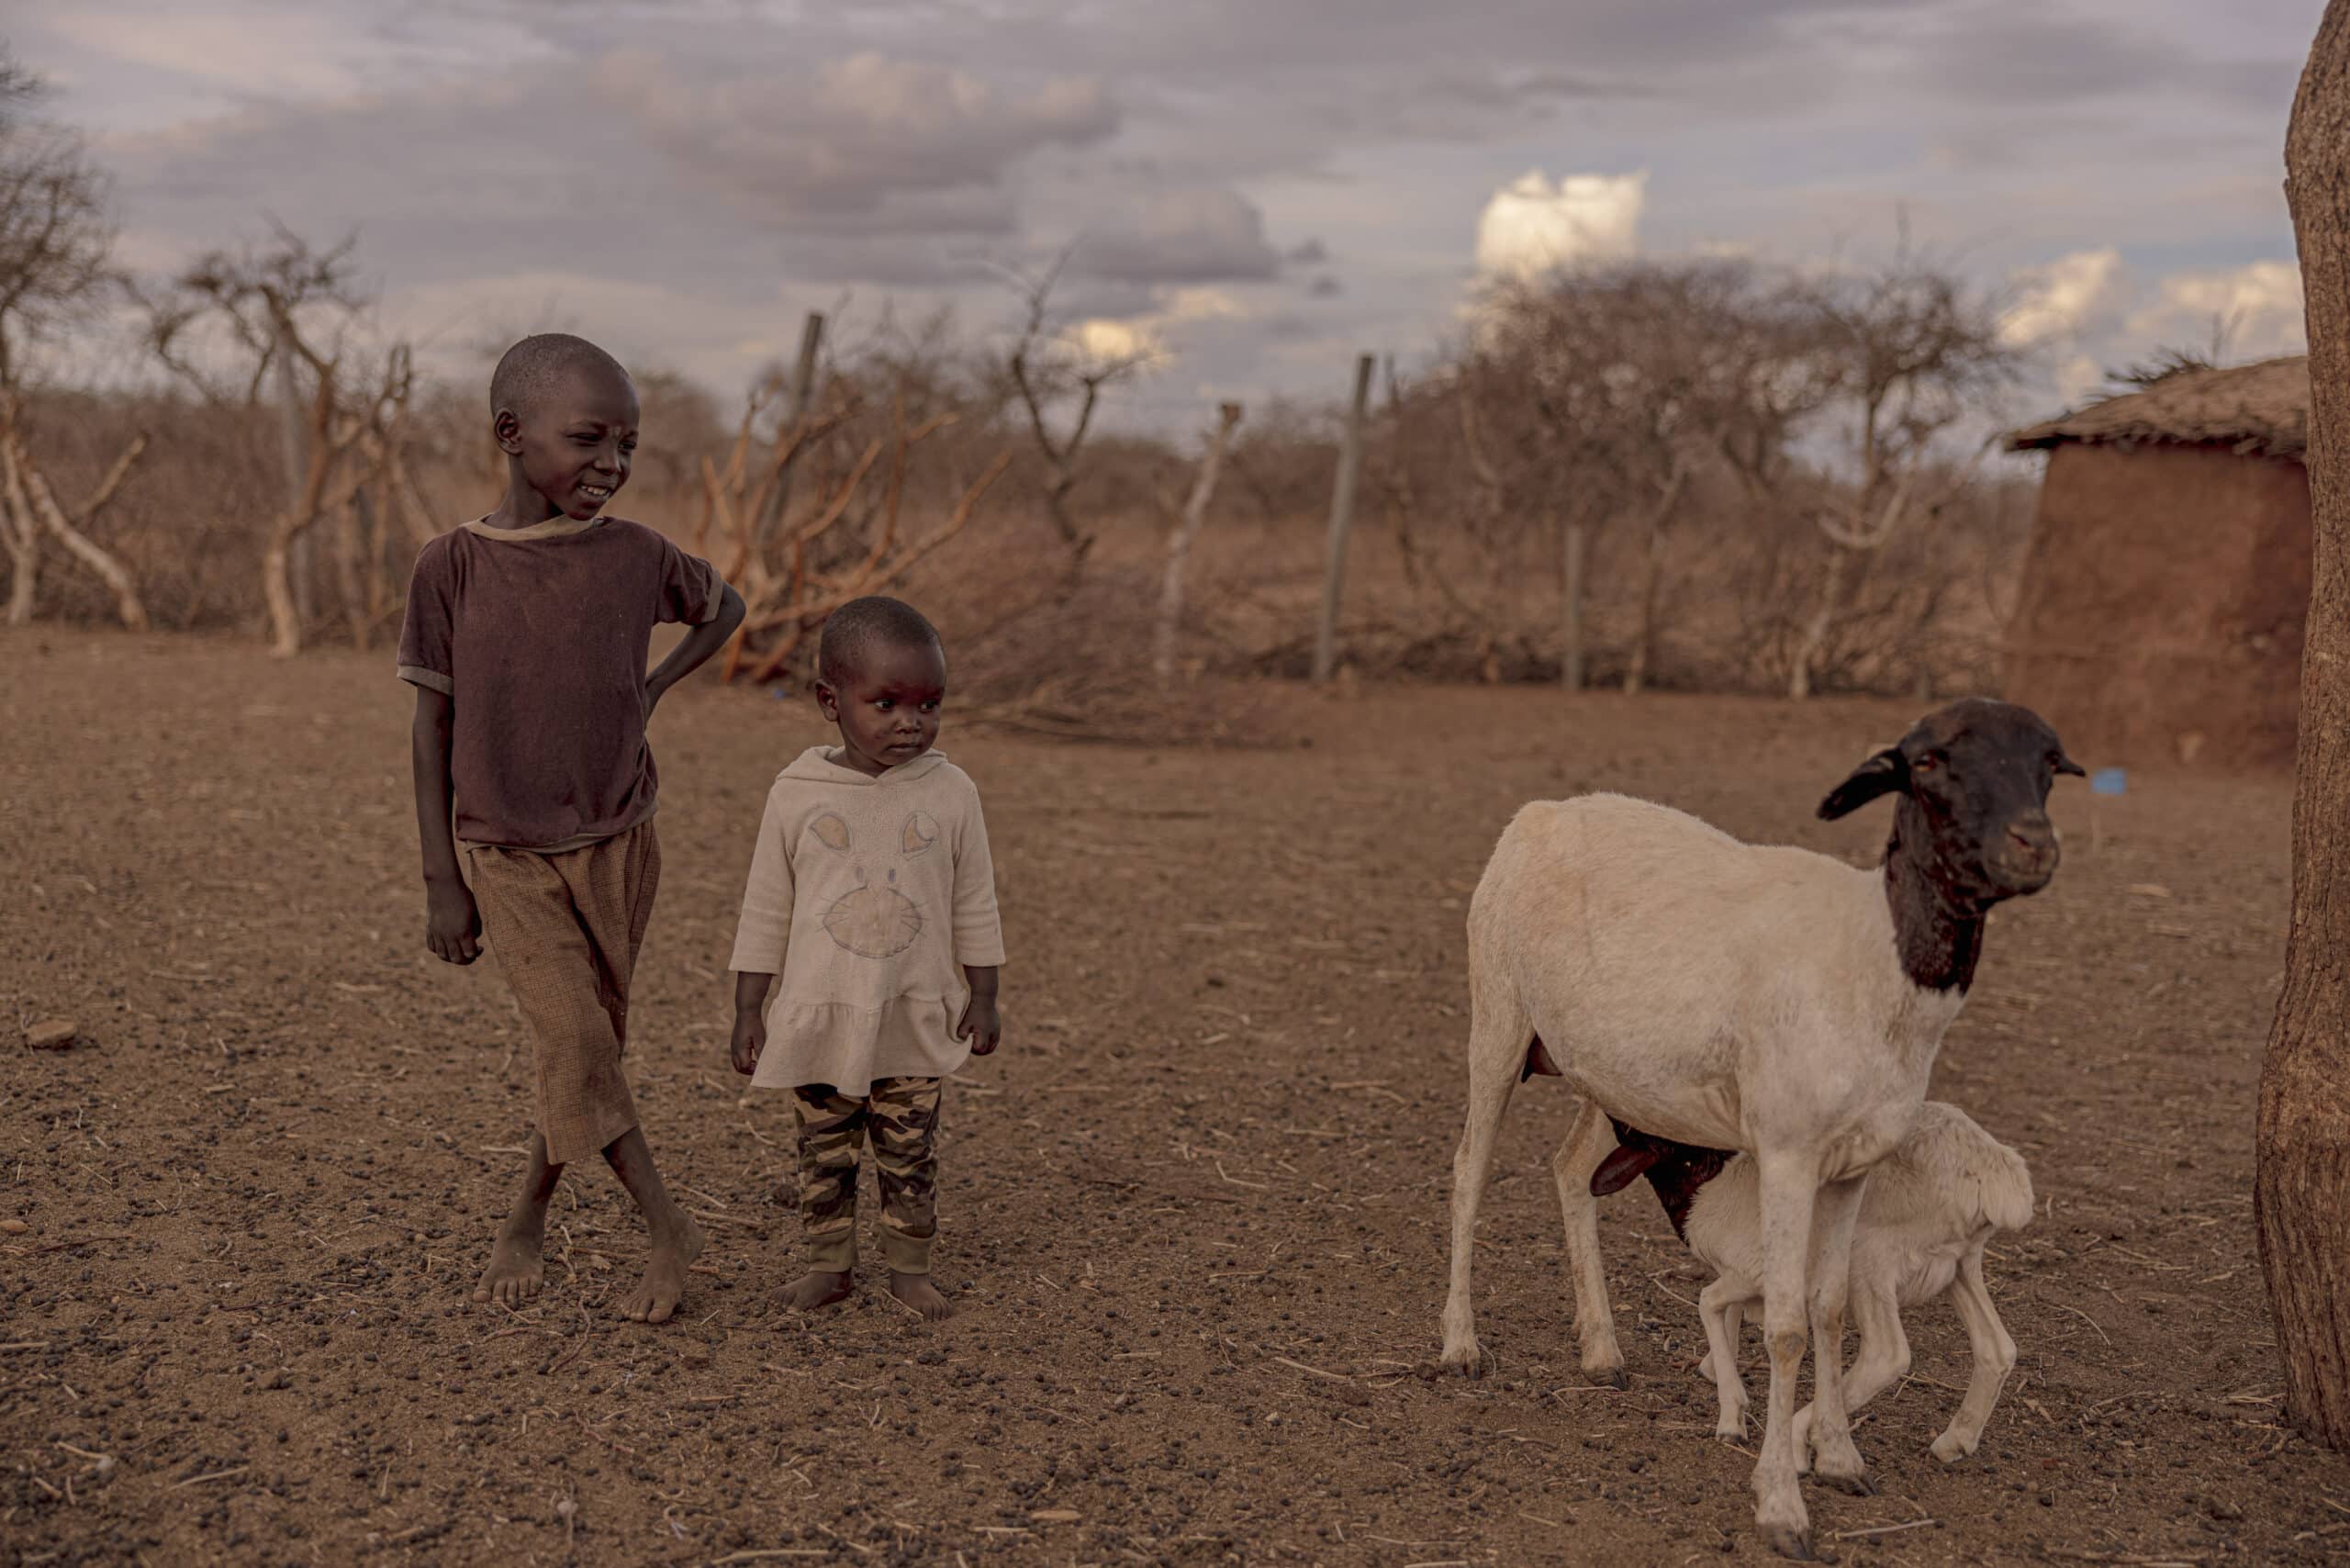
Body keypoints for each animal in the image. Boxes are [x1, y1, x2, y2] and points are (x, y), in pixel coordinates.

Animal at [1597, 1100, 2040, 1466]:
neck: (1707, 1181)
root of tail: (1998, 1175)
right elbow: (1726, 1310)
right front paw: (1716, 1374)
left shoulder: (1752, 1272)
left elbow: (1708, 1302)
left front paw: (1731, 1418)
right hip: (1960, 1264)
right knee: (1997, 1348)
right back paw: (1954, 1442)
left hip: (1869, 1260)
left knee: (1887, 1355)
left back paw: (1800, 1438)